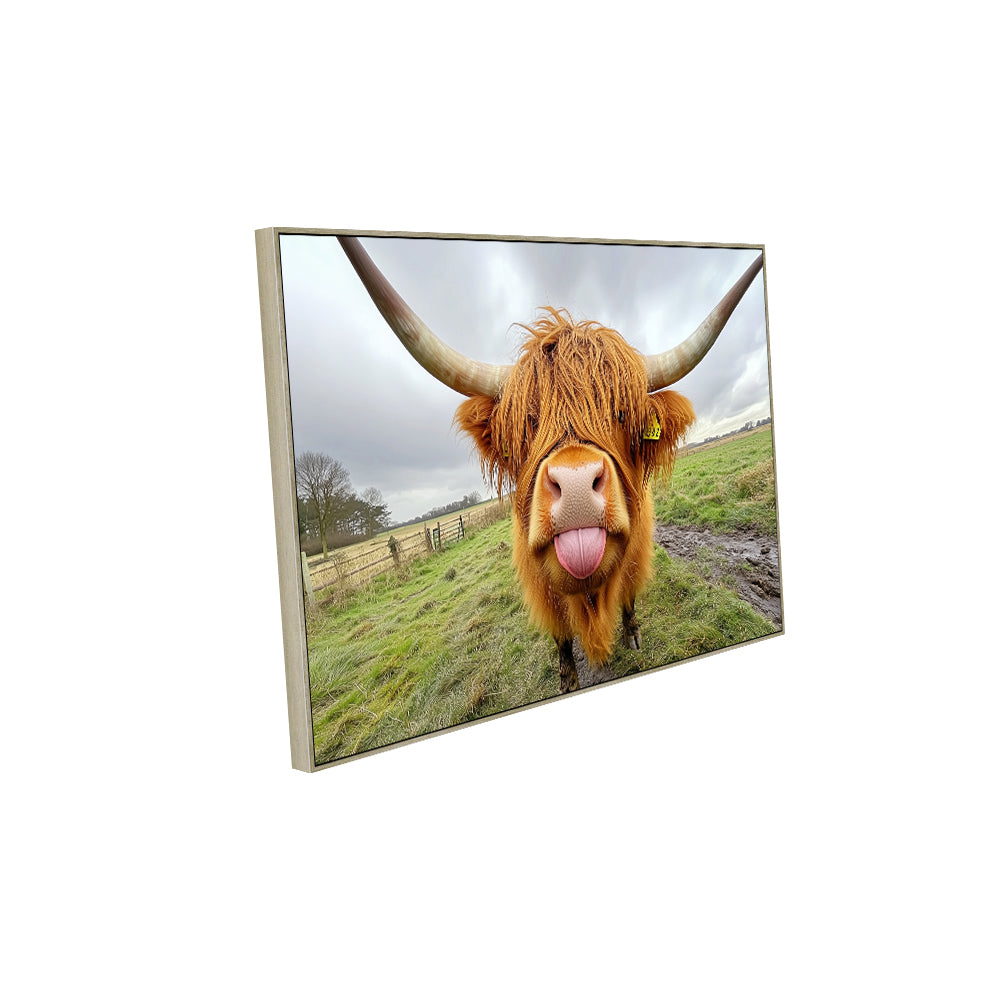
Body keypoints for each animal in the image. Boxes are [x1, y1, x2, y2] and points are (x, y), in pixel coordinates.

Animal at [338, 236, 764, 694]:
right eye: (528, 420)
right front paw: (567, 678)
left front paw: (632, 635)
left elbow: (628, 595)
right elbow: (561, 638)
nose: (576, 487)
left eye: (620, 412)